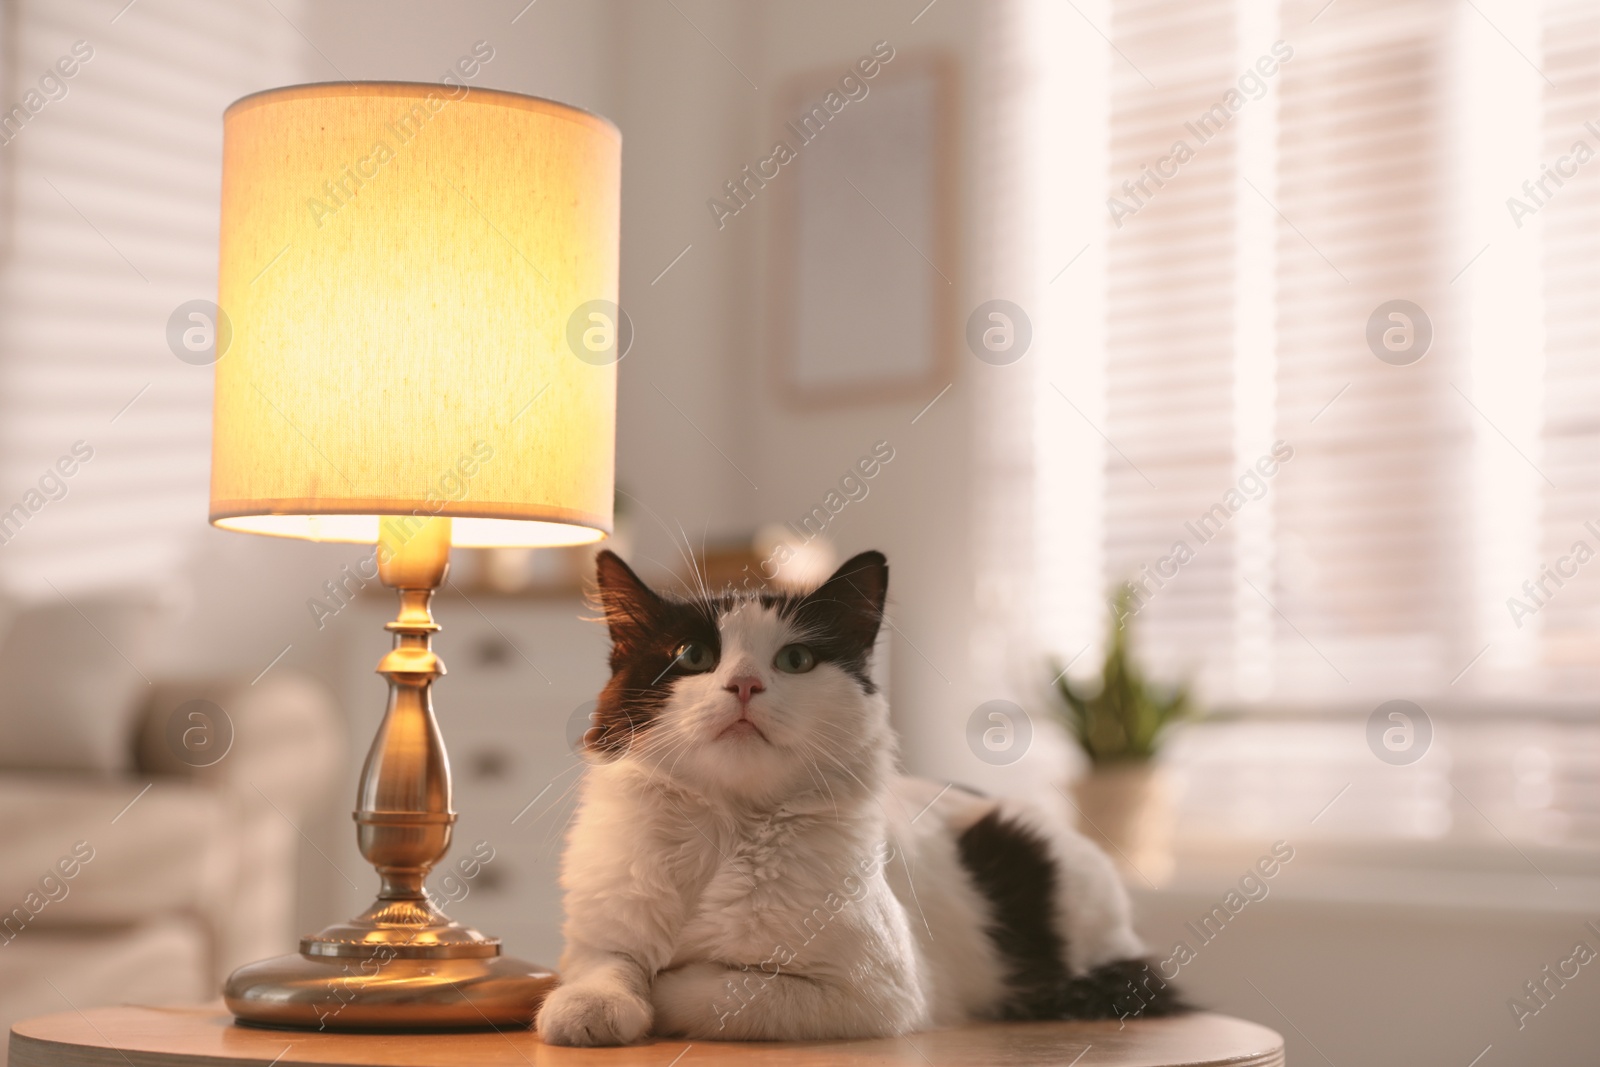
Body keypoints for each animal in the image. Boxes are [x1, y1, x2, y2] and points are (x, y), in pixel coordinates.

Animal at [537, 547, 1190, 1049]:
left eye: (795, 660)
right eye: (693, 656)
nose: (744, 685)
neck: (725, 830)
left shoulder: (873, 993)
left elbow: (720, 986)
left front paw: (669, 983)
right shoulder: (597, 938)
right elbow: (604, 968)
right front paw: (589, 1007)